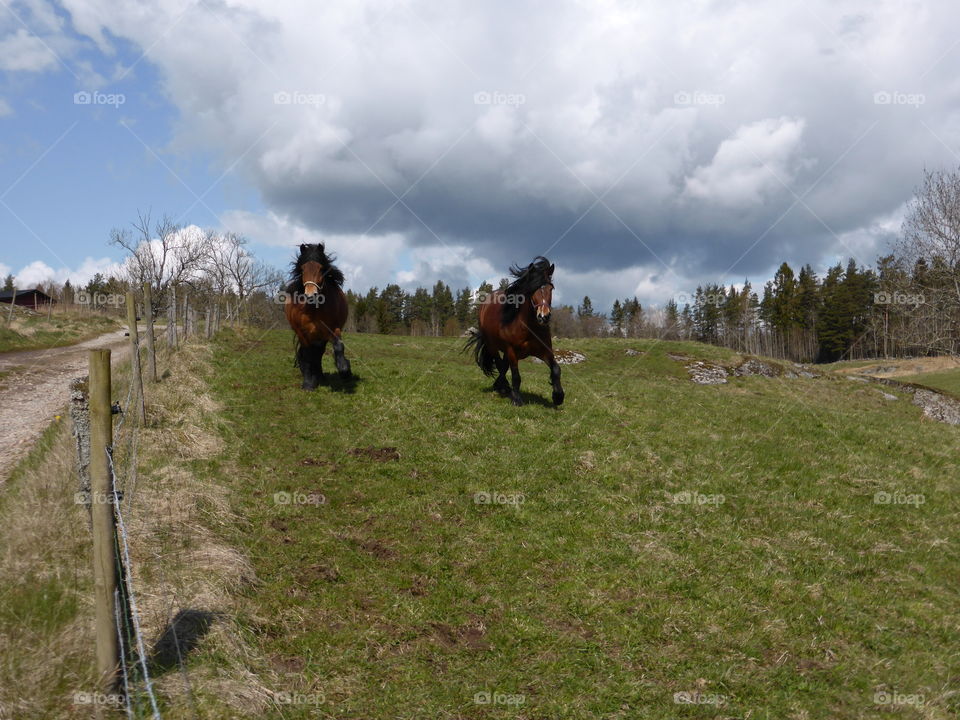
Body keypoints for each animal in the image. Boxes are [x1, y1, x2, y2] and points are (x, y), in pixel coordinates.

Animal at [284, 242, 352, 388]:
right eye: (302, 269)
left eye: (321, 269)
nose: (311, 295)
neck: (313, 309)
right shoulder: (303, 333)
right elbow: (307, 355)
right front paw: (308, 383)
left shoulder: (332, 329)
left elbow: (339, 346)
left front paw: (345, 370)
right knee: (310, 353)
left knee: (318, 353)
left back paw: (320, 376)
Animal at [464, 258, 564, 404]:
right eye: (533, 289)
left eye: (551, 288)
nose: (543, 316)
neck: (528, 327)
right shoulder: (511, 351)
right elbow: (516, 375)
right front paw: (516, 398)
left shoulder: (544, 351)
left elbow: (556, 369)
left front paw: (558, 396)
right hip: (493, 346)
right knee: (500, 365)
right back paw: (504, 387)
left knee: (503, 366)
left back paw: (500, 386)